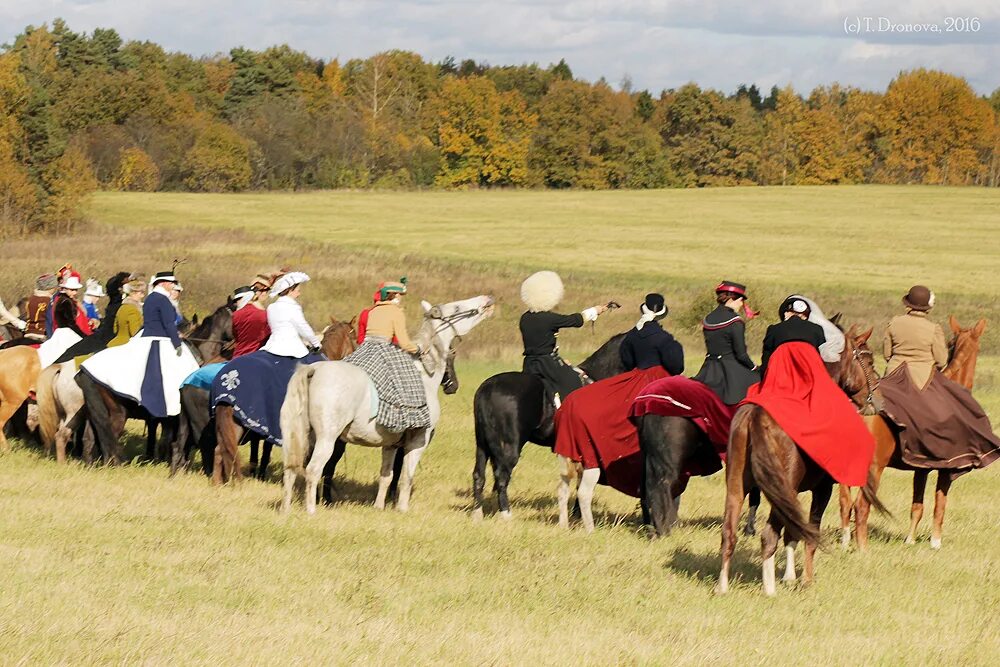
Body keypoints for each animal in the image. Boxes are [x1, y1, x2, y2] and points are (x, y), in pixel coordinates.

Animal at [280, 298, 494, 516]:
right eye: (457, 307)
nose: (486, 300)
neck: (423, 373)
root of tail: (312, 370)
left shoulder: (390, 445)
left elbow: (386, 475)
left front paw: (379, 506)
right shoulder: (419, 440)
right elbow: (406, 477)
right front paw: (402, 508)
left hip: (300, 436)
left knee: (291, 469)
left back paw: (286, 509)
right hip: (327, 439)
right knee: (313, 470)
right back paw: (311, 510)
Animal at [468, 332, 624, 520]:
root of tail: (487, 388)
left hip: (482, 444)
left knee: (479, 475)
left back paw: (477, 514)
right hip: (510, 446)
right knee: (501, 475)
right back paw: (506, 514)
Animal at [716, 326, 888, 596]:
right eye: (869, 362)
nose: (879, 400)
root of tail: (755, 415)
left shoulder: (793, 494)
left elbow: (793, 533)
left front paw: (789, 576)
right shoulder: (822, 489)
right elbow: (810, 533)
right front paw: (805, 579)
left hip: (737, 487)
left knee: (729, 532)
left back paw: (722, 586)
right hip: (779, 490)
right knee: (768, 535)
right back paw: (769, 589)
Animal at [836, 316, 992, 552]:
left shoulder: (922, 467)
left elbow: (917, 505)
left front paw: (910, 540)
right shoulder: (946, 469)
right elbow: (939, 504)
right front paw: (936, 543)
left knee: (845, 503)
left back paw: (846, 543)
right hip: (873, 469)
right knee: (861, 506)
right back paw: (863, 549)